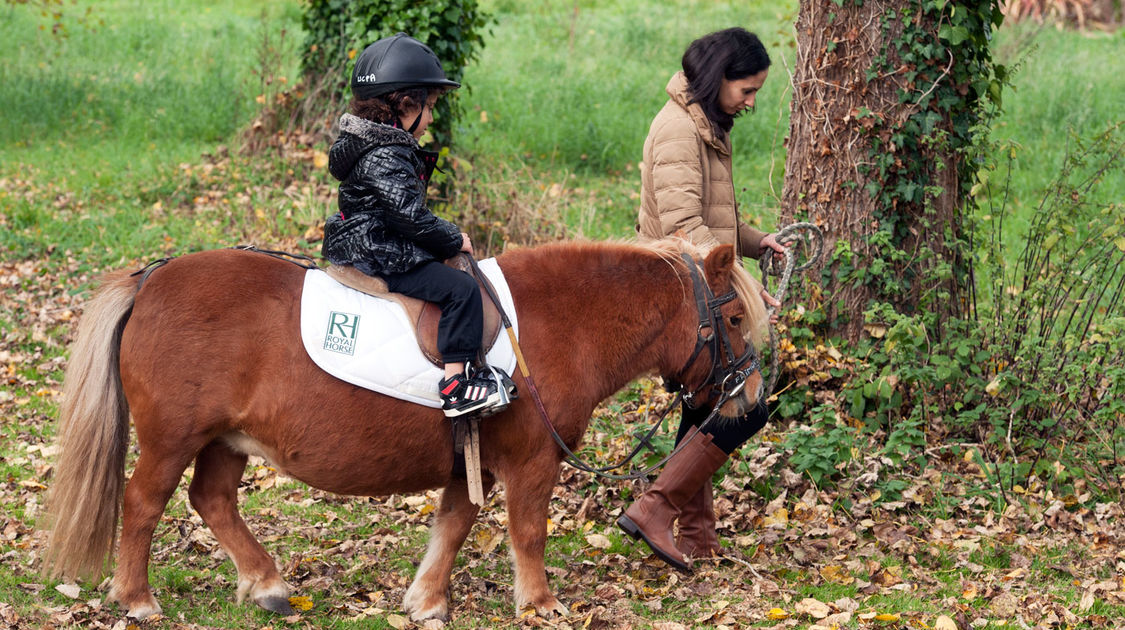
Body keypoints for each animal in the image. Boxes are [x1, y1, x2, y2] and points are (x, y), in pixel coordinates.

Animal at [41, 238, 765, 621]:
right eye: (733, 321)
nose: (752, 403)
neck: (554, 325)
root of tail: (150, 280)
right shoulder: (533, 461)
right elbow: (527, 532)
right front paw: (538, 605)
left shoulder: (472, 461)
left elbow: (453, 525)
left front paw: (425, 601)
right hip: (173, 440)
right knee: (143, 504)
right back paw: (137, 599)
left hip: (226, 441)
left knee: (211, 500)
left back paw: (266, 583)